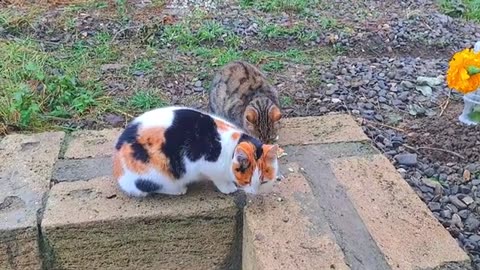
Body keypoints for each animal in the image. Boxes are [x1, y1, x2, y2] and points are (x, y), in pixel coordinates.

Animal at [113, 106, 280, 198]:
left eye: (264, 181)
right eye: (247, 181)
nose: (255, 192)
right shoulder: (206, 165)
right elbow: (219, 180)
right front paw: (228, 188)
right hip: (155, 175)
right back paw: (179, 190)